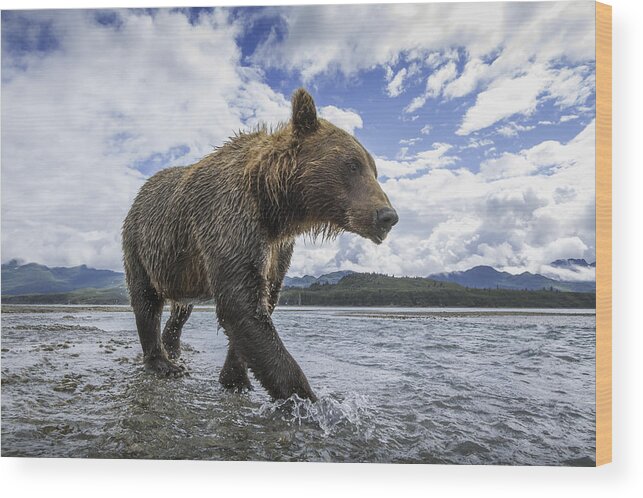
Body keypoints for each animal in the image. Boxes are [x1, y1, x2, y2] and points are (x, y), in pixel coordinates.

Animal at [122, 88, 398, 400]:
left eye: (374, 170)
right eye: (353, 165)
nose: (387, 216)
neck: (274, 203)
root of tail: (141, 192)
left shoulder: (277, 247)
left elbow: (264, 297)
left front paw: (235, 378)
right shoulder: (230, 217)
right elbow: (241, 303)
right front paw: (308, 399)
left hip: (180, 269)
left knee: (181, 308)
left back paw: (173, 347)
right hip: (140, 244)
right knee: (146, 300)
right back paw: (163, 362)